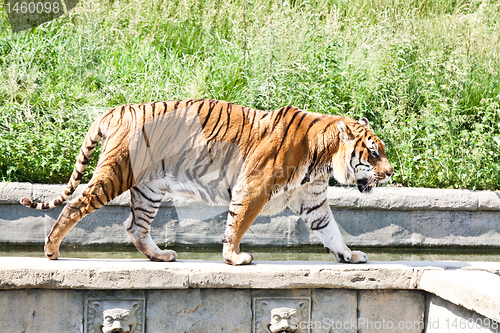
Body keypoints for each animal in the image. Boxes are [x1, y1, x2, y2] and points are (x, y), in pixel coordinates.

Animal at [19, 98, 394, 264]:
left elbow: (330, 229)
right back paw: (51, 250)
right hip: (116, 174)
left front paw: (349, 255)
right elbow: (237, 224)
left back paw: (160, 256)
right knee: (75, 205)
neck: (323, 159)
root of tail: (117, 109)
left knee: (136, 227)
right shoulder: (252, 188)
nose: (390, 173)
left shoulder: (312, 200)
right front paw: (234, 258)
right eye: (374, 154)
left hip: (148, 189)